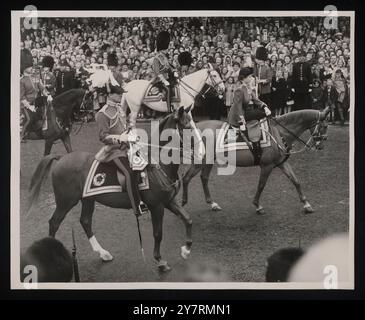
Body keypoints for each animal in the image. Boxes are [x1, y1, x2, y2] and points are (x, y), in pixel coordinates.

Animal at [26, 106, 193, 272]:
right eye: (186, 127)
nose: (198, 152)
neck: (157, 165)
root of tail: (61, 158)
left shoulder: (169, 201)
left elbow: (187, 219)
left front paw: (186, 250)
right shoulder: (156, 206)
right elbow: (158, 233)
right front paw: (160, 260)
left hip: (88, 199)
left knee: (85, 221)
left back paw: (103, 253)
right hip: (65, 202)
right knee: (54, 223)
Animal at [181, 108, 328, 215]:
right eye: (324, 126)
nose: (321, 146)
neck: (279, 133)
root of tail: (195, 127)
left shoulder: (281, 163)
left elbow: (296, 181)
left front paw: (306, 204)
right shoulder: (267, 166)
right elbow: (261, 185)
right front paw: (257, 205)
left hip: (208, 162)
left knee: (203, 178)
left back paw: (212, 204)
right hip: (202, 161)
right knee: (187, 178)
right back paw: (183, 202)